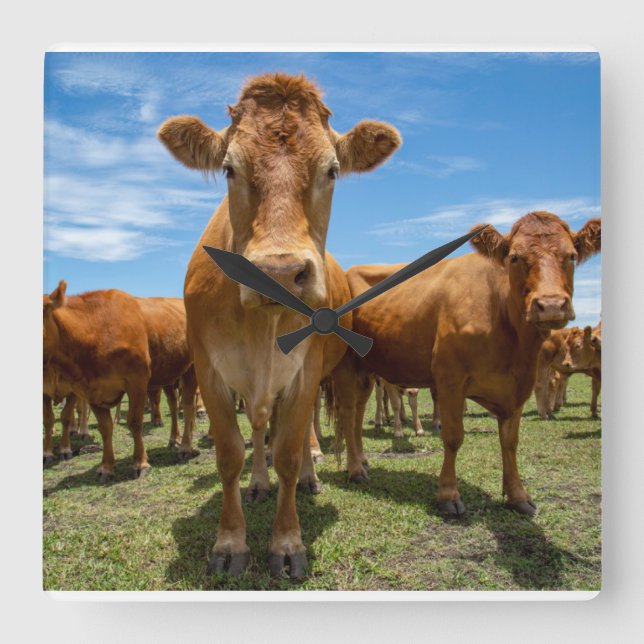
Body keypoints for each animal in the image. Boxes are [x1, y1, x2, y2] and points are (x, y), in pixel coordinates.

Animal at [158, 72, 401, 577]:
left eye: (332, 170)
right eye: (229, 169)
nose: (280, 272)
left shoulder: (306, 372)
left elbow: (288, 451)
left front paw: (288, 543)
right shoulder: (209, 373)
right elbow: (230, 454)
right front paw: (230, 542)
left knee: (329, 423)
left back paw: (323, 472)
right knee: (258, 429)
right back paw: (258, 483)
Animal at [331, 211, 601, 518]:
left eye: (571, 256)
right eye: (514, 257)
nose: (551, 305)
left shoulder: (519, 385)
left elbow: (510, 441)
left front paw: (518, 495)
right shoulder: (450, 379)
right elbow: (453, 436)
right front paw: (448, 495)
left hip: (366, 368)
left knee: (358, 411)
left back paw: (362, 460)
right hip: (346, 366)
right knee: (348, 411)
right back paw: (355, 469)